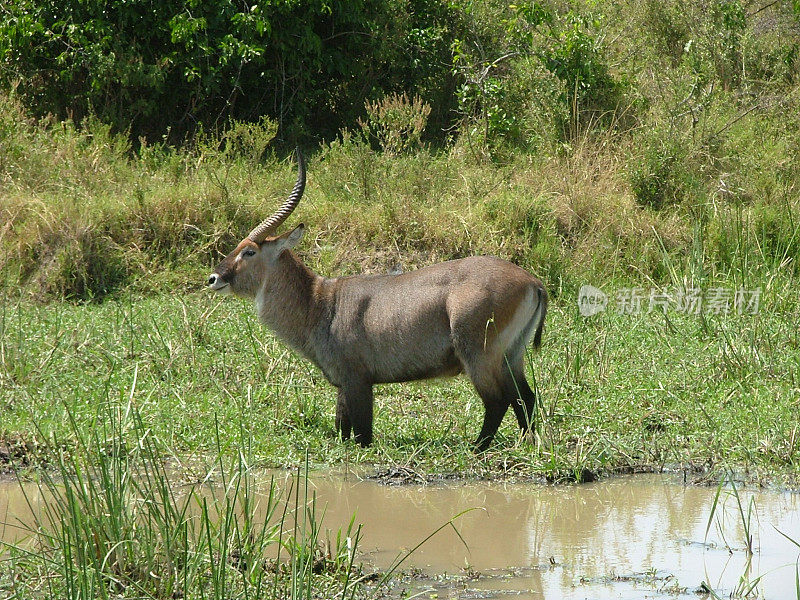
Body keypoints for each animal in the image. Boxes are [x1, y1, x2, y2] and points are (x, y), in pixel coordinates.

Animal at [206, 150, 548, 450]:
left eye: (249, 251)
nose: (214, 278)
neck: (319, 301)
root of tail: (532, 281)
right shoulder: (343, 385)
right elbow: (342, 429)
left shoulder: (358, 381)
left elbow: (362, 436)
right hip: (511, 355)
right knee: (524, 398)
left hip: (478, 355)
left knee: (498, 401)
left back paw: (476, 449)